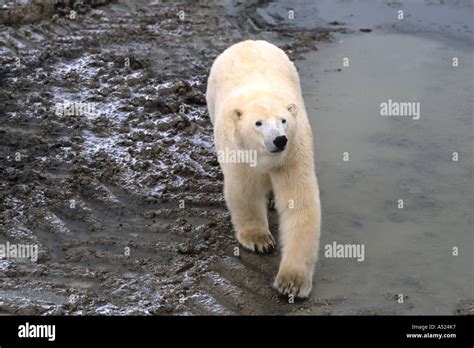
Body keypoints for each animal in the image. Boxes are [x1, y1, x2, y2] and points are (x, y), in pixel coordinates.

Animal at [206, 40, 320, 296]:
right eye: (258, 123)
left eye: (283, 120)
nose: (279, 139)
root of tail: (246, 42)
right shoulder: (239, 152)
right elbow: (245, 191)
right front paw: (261, 241)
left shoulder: (293, 154)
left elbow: (299, 202)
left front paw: (292, 283)